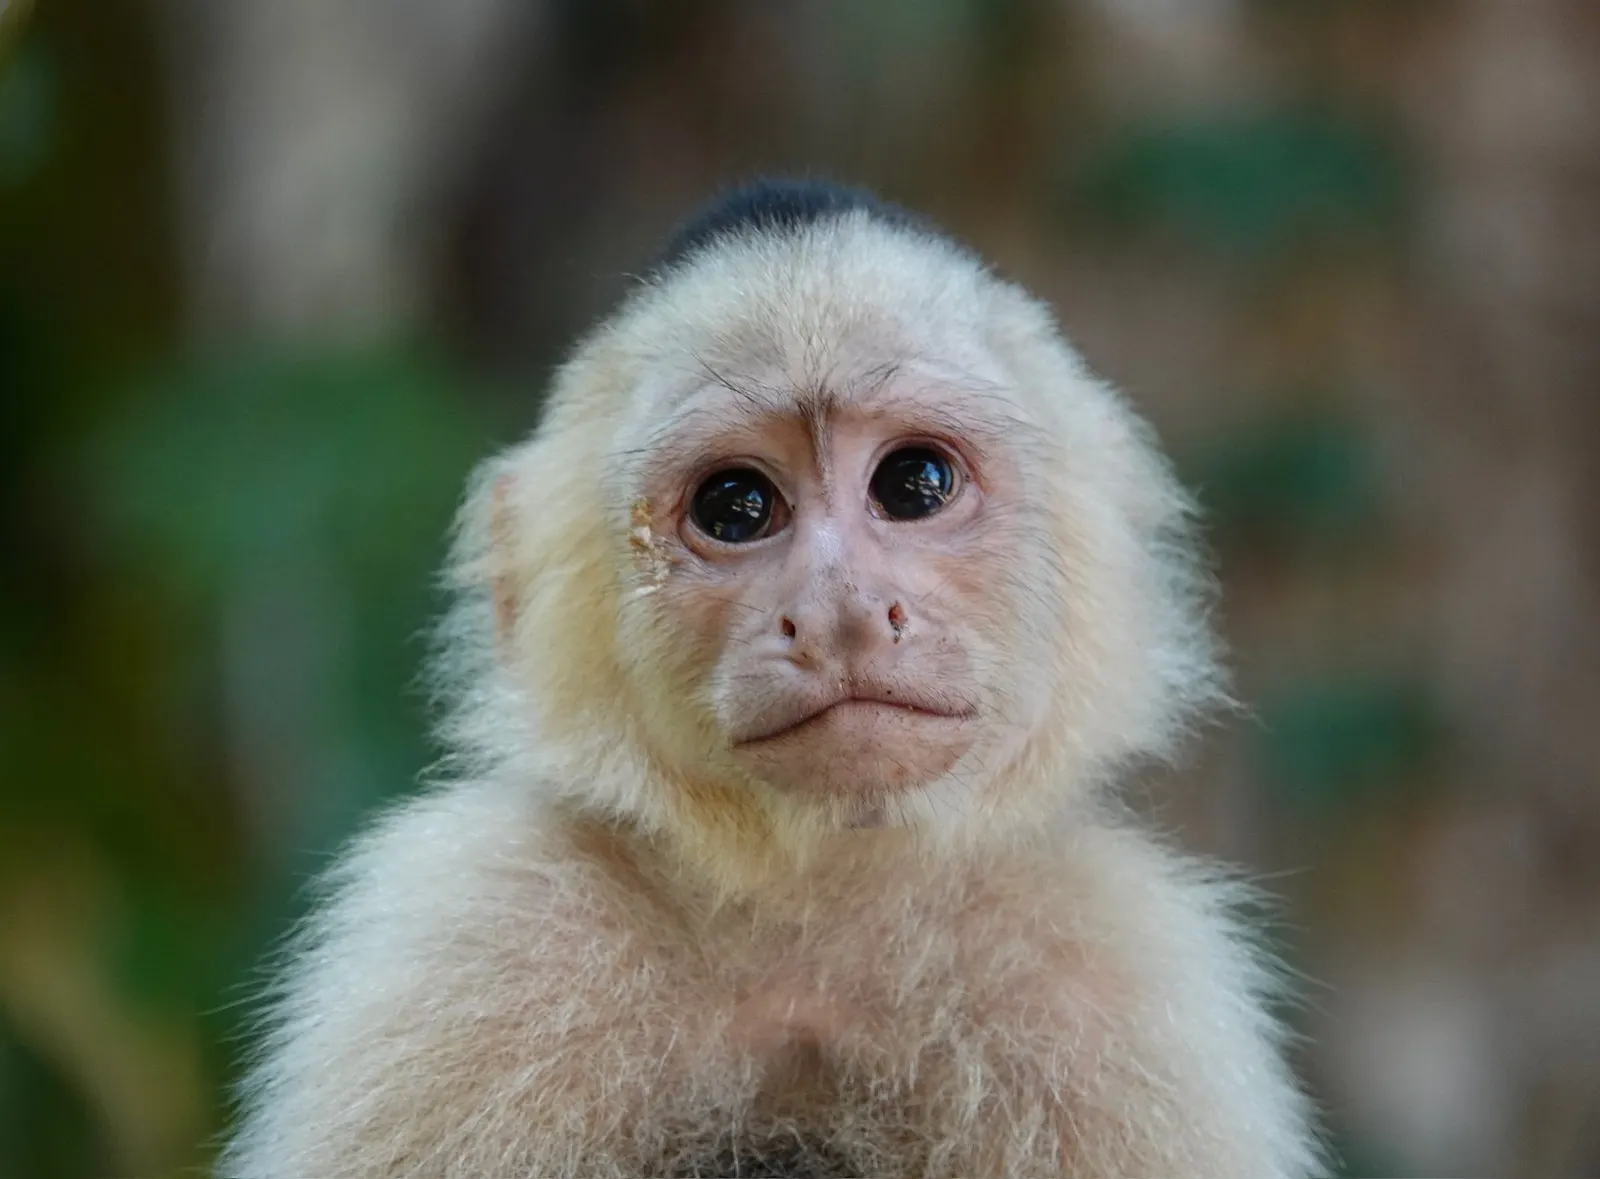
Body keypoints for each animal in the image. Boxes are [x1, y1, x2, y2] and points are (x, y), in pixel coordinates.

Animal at [220, 179, 1326, 1178]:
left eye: (914, 484)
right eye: (736, 506)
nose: (839, 614)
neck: (811, 926)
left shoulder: (1119, 988)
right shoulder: (469, 935)